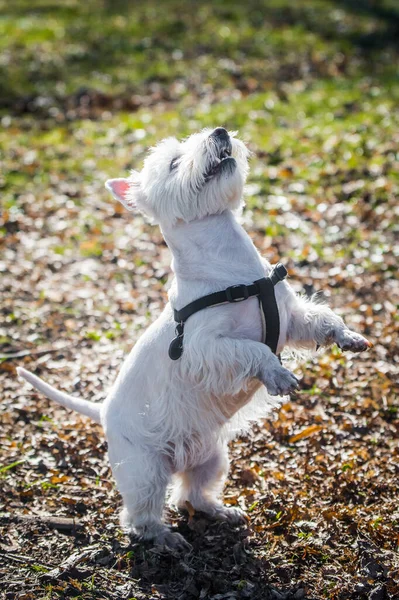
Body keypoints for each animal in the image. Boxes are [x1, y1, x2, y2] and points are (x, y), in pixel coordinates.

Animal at [16, 126, 372, 548]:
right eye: (173, 162)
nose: (220, 132)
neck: (230, 265)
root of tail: (101, 411)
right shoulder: (206, 348)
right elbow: (255, 350)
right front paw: (278, 375)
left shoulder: (291, 320)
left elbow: (323, 319)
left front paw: (349, 337)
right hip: (144, 470)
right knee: (140, 514)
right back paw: (166, 539)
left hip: (213, 457)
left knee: (192, 494)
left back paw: (223, 512)